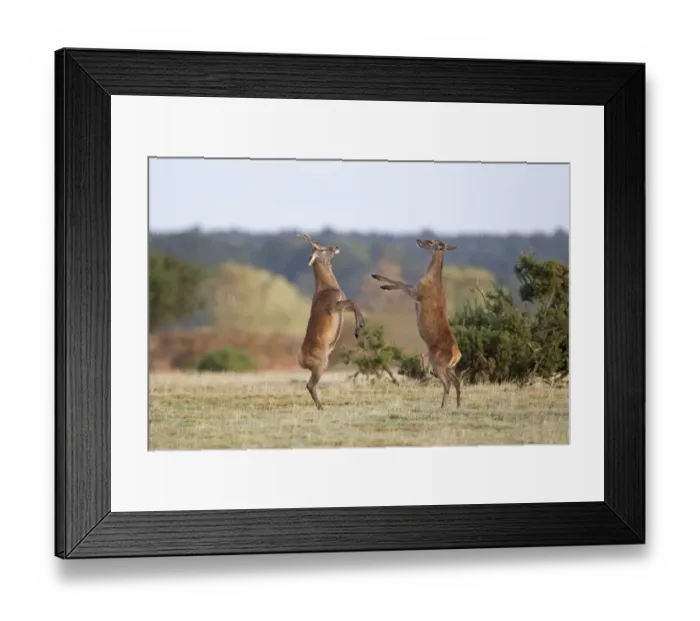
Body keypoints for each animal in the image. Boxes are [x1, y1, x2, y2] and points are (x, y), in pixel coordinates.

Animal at [297, 233, 366, 410]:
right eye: (321, 249)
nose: (336, 247)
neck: (329, 287)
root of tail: (301, 361)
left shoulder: (341, 305)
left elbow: (355, 302)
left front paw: (360, 326)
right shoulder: (333, 306)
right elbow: (354, 301)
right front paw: (358, 328)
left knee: (310, 385)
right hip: (321, 363)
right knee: (310, 385)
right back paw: (321, 407)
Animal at [371, 239, 462, 409]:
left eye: (431, 241)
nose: (418, 240)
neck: (431, 280)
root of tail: (457, 355)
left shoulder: (418, 293)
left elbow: (401, 283)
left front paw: (380, 280)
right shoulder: (415, 290)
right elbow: (401, 283)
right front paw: (382, 283)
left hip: (438, 363)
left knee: (447, 384)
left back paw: (442, 406)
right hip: (451, 367)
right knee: (457, 382)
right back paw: (457, 405)